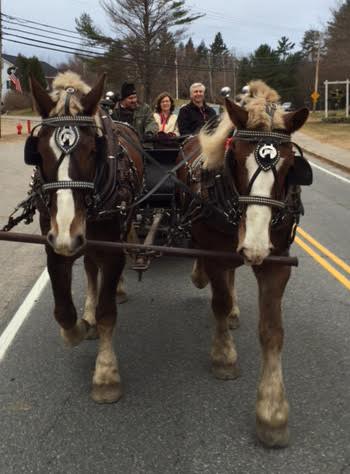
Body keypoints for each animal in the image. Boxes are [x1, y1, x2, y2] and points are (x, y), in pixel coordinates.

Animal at [26, 71, 143, 404]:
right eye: (39, 153)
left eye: (93, 151)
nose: (69, 232)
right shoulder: (54, 244)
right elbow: (63, 312)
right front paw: (80, 326)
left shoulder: (111, 248)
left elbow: (107, 314)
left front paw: (105, 373)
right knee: (90, 268)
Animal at [178, 79, 312, 446]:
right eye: (235, 158)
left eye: (289, 167)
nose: (255, 245)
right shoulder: (215, 251)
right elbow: (219, 303)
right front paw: (224, 357)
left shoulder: (278, 262)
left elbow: (272, 331)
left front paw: (272, 411)